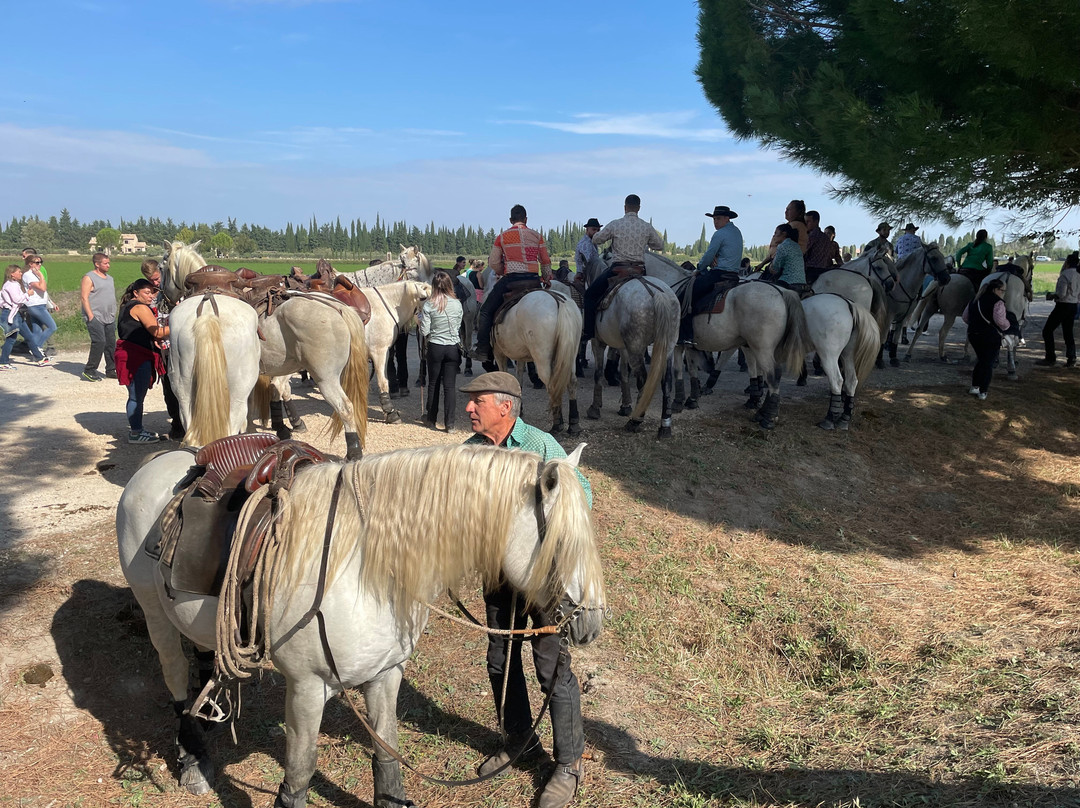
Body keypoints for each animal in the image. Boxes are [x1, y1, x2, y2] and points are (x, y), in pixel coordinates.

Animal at [120, 442, 609, 808]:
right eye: (563, 543)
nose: (591, 623)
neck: (362, 567)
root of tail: (159, 464)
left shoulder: (385, 674)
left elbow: (386, 756)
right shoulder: (306, 688)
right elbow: (299, 776)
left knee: (204, 658)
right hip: (155, 615)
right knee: (175, 676)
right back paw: (191, 759)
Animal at [807, 295, 881, 429]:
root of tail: (849, 304)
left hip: (828, 354)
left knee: (836, 381)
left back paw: (829, 420)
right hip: (847, 355)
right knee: (851, 381)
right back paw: (844, 419)